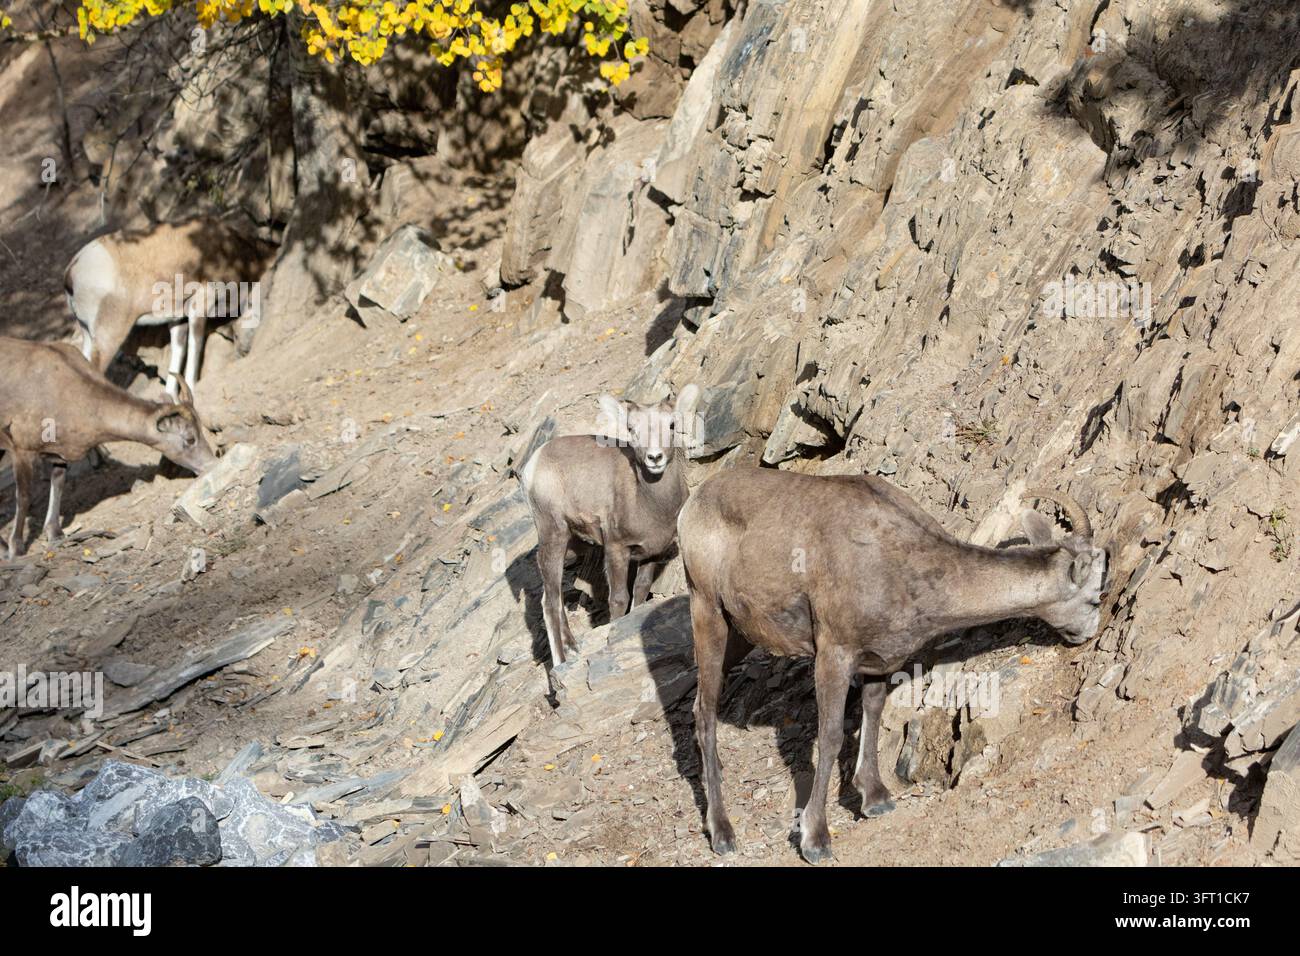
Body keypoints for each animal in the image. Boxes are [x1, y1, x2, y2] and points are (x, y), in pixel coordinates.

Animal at [0, 337, 218, 559]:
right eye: (190, 439)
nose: (211, 464)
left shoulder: (59, 456)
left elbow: (58, 484)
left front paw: (55, 534)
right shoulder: (21, 450)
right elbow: (24, 497)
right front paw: (16, 549)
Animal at [64, 218, 276, 397]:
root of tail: (72, 271)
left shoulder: (178, 320)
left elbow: (178, 353)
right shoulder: (199, 307)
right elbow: (195, 346)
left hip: (87, 334)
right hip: (109, 338)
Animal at [520, 385, 699, 664]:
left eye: (671, 424)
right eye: (631, 429)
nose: (654, 458)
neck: (650, 503)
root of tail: (534, 463)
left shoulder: (651, 553)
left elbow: (640, 591)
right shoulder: (616, 550)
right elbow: (618, 599)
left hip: (571, 546)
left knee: (556, 595)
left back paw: (573, 646)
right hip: (554, 537)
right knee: (548, 603)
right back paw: (561, 662)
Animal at [676, 468, 1108, 863]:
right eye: (1095, 598)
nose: (1088, 633)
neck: (901, 561)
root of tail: (693, 504)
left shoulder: (878, 662)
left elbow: (872, 711)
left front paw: (875, 798)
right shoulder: (833, 654)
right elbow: (830, 737)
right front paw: (815, 839)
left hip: (740, 635)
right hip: (707, 612)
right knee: (705, 712)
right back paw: (723, 834)